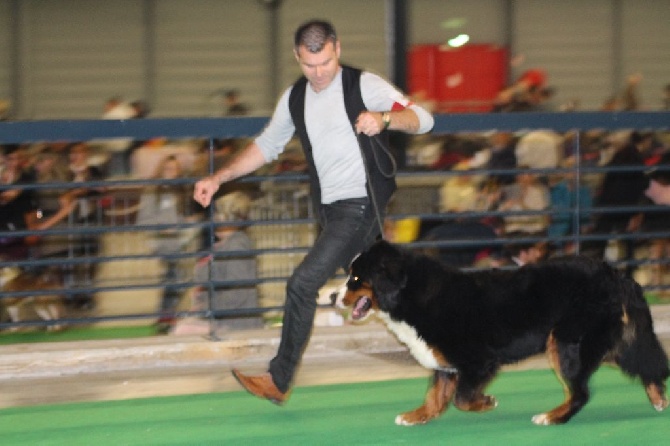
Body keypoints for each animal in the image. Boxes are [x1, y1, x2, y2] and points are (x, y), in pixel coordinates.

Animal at [336, 240, 670, 426]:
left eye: (356, 279)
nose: (332, 296)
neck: (413, 294)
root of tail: (615, 274)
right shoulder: (445, 364)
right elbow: (435, 395)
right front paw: (416, 416)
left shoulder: (477, 362)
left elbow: (462, 398)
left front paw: (486, 402)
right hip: (607, 341)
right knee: (641, 362)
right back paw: (658, 399)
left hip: (567, 344)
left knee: (580, 393)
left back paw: (552, 417)